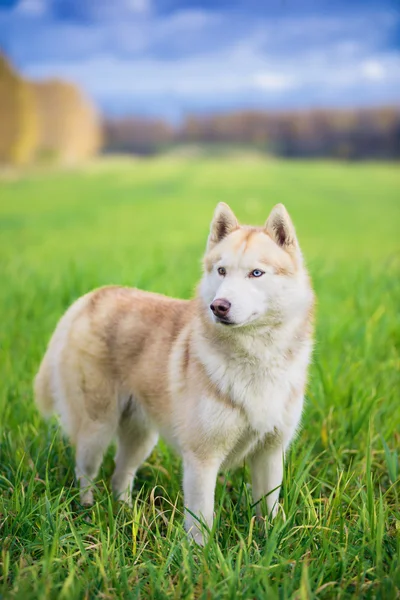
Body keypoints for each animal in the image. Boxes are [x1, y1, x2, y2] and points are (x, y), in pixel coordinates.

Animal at [34, 202, 314, 544]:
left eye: (256, 273)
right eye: (221, 271)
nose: (219, 306)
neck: (256, 357)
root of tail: (90, 297)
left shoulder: (270, 453)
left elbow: (268, 509)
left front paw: (270, 543)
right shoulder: (202, 458)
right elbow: (201, 519)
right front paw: (200, 554)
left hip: (142, 437)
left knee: (119, 476)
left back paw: (128, 514)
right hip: (96, 429)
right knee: (85, 473)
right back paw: (87, 512)